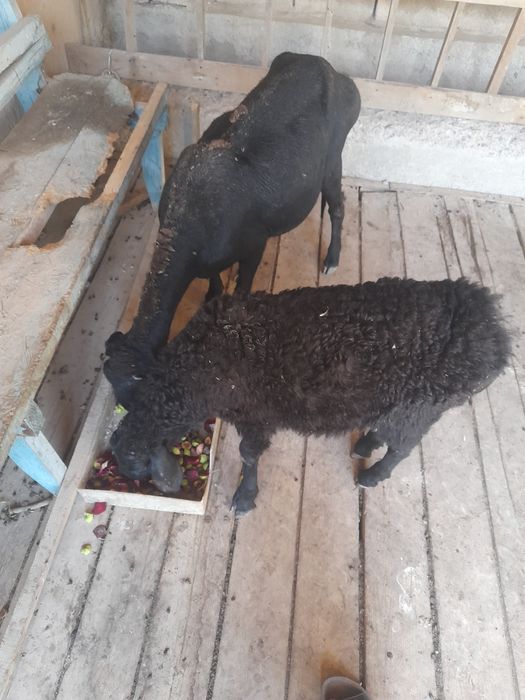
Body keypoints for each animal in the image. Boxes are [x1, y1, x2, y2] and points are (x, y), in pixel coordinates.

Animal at [109, 277, 510, 514]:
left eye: (136, 467)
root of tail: (493, 335)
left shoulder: (255, 415)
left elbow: (249, 455)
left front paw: (245, 496)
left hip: (419, 408)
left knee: (402, 448)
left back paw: (372, 474)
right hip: (402, 405)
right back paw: (365, 444)